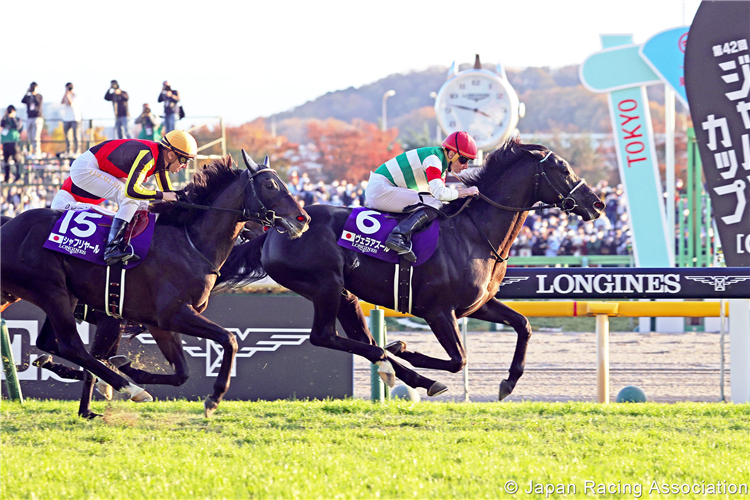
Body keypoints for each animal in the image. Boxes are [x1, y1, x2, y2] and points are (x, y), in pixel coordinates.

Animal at [0, 153, 310, 418]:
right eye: (270, 185)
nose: (303, 219)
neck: (189, 242)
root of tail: (8, 228)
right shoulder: (169, 314)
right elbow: (229, 339)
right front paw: (214, 398)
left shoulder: (159, 322)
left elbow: (181, 373)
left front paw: (124, 371)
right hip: (52, 292)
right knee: (71, 346)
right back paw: (129, 388)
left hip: (52, 296)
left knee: (54, 344)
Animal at [217, 139, 604, 400]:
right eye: (563, 170)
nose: (597, 203)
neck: (474, 233)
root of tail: (273, 231)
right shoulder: (438, 311)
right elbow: (458, 359)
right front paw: (408, 350)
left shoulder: (476, 305)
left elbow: (523, 324)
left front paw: (508, 382)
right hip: (323, 286)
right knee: (325, 337)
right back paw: (405, 366)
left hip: (344, 293)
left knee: (362, 339)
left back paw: (398, 368)